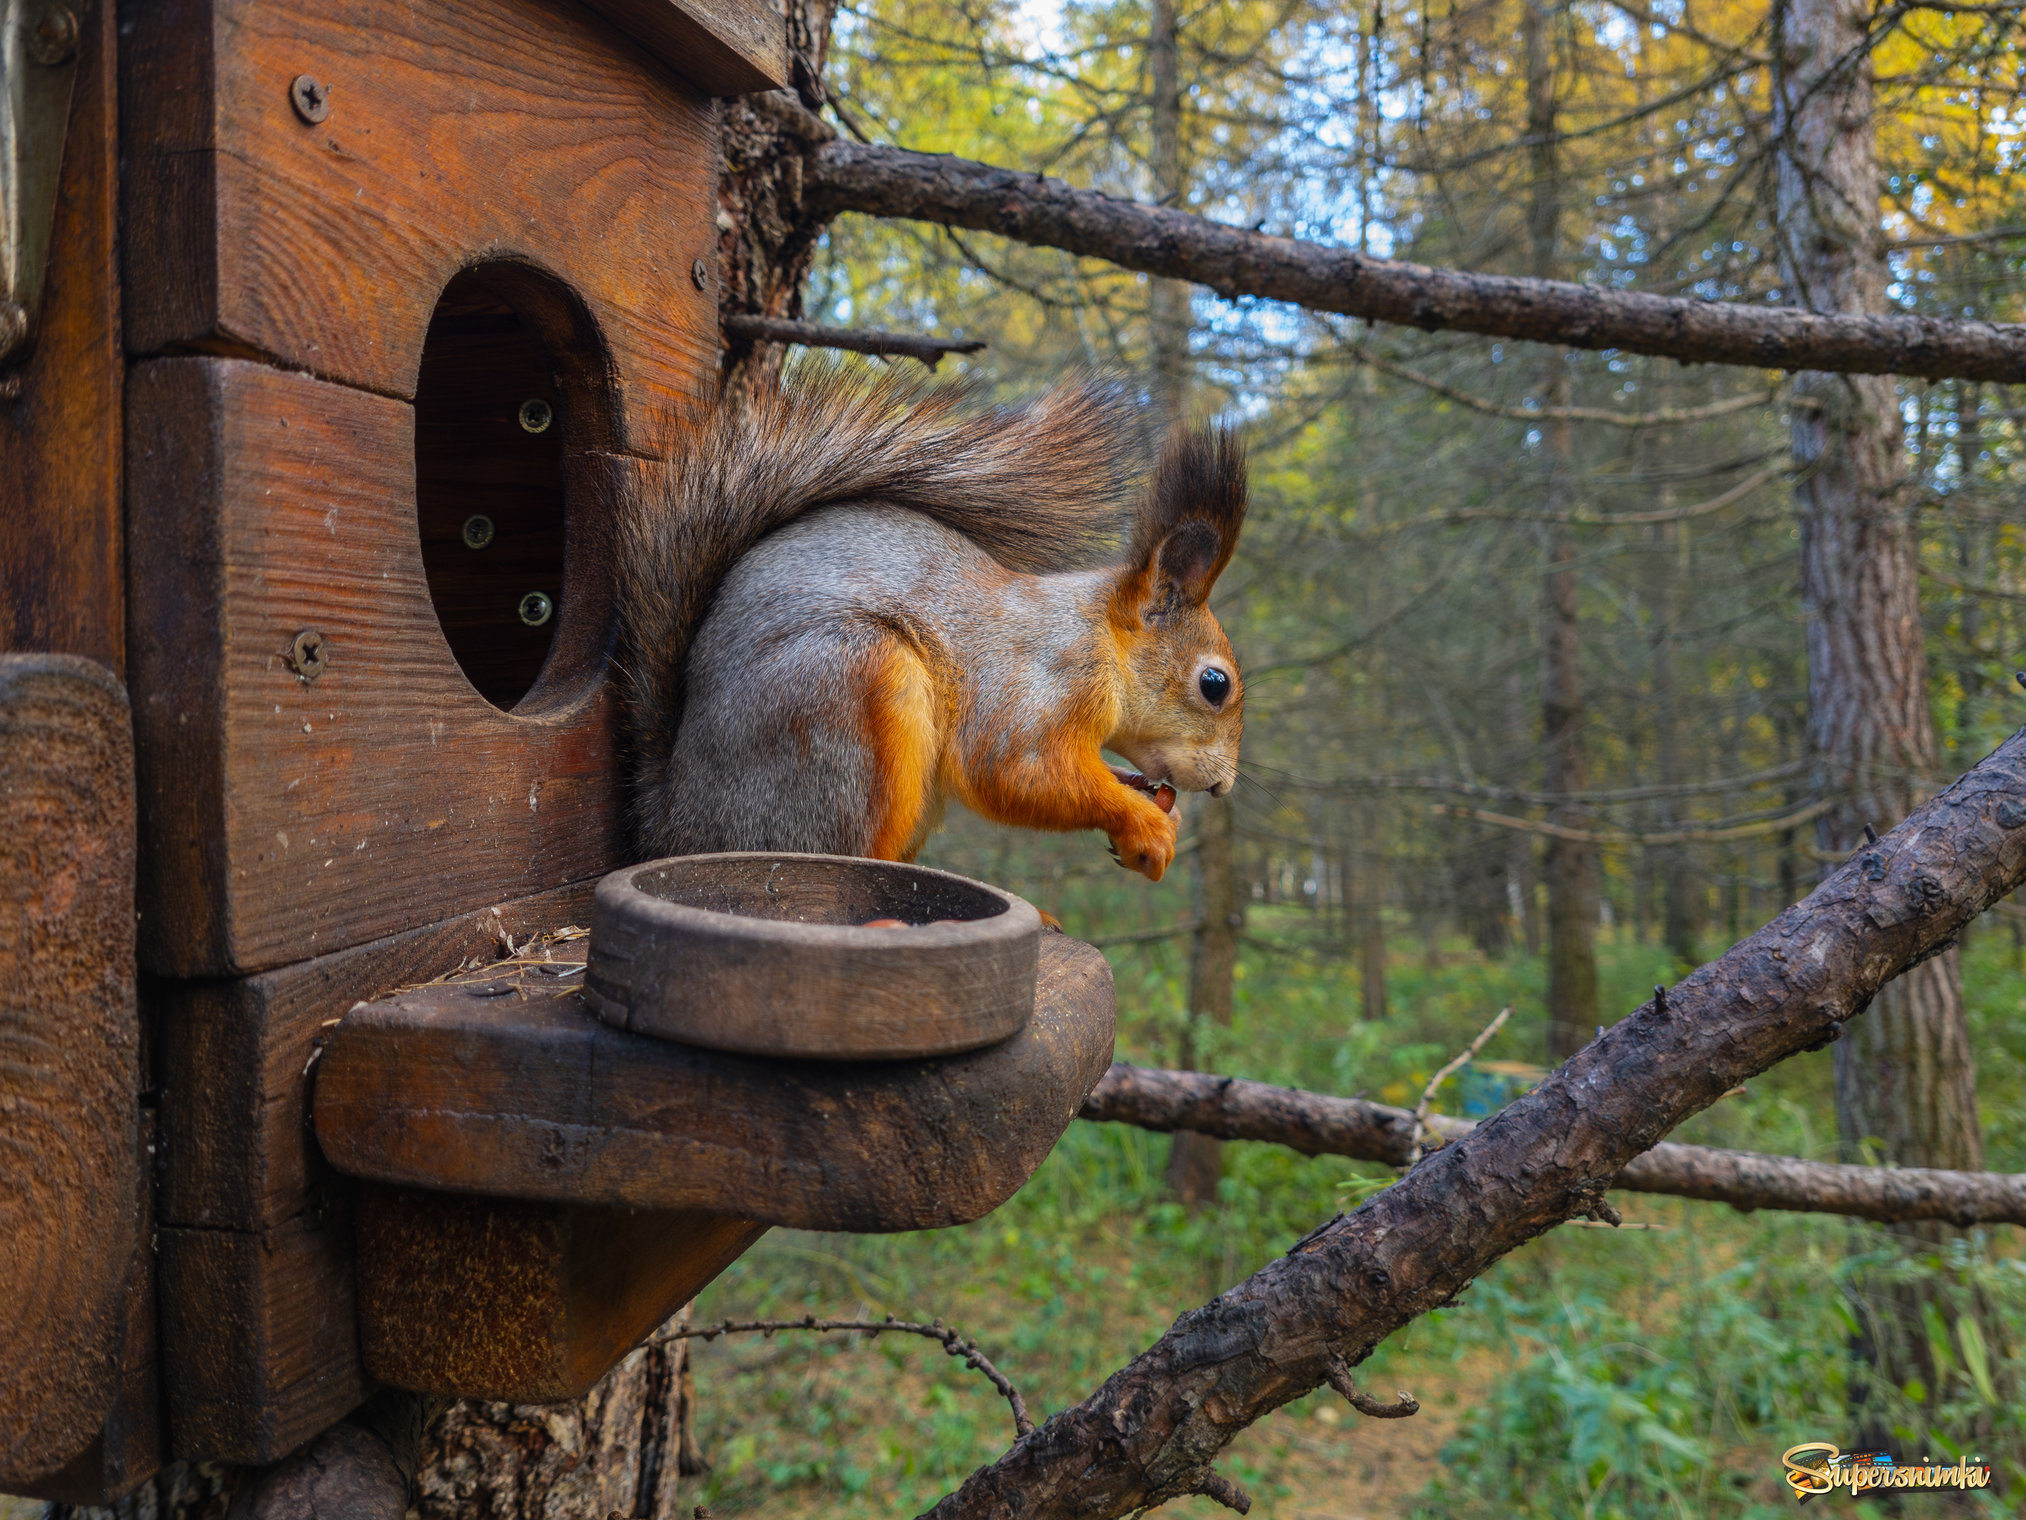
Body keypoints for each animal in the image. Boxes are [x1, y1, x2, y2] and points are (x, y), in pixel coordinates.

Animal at [615, 368, 1239, 887]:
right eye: (1215, 684)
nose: (1223, 785)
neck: (1103, 639)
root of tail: (678, 821)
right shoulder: (1046, 678)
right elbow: (1014, 771)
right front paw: (1143, 824)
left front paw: (1145, 797)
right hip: (847, 694)